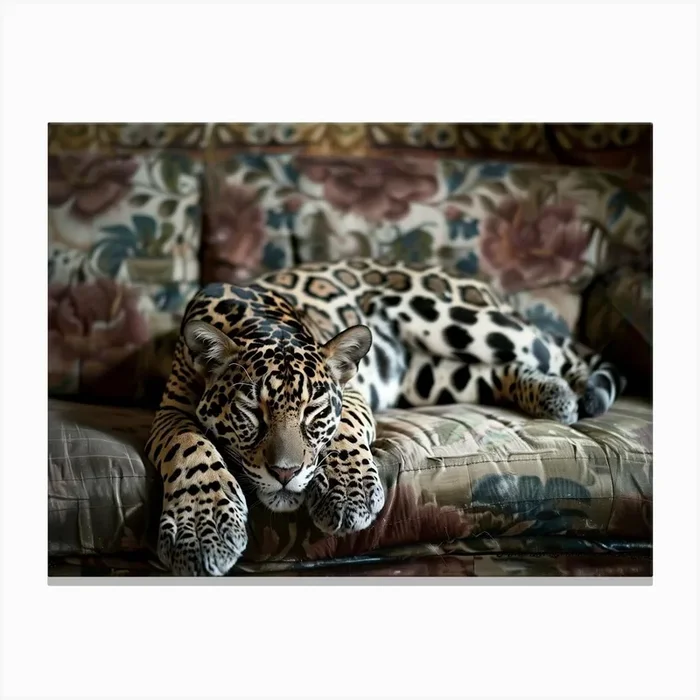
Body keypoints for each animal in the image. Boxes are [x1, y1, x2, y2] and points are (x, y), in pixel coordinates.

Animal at [145, 257, 625, 576]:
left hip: (469, 323)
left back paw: (581, 394)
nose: (285, 473)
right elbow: (193, 450)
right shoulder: (169, 415)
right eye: (250, 412)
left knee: (555, 347)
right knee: (490, 372)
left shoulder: (354, 392)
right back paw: (552, 395)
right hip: (432, 378)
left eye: (315, 411)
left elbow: (344, 433)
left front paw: (347, 492)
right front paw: (201, 527)